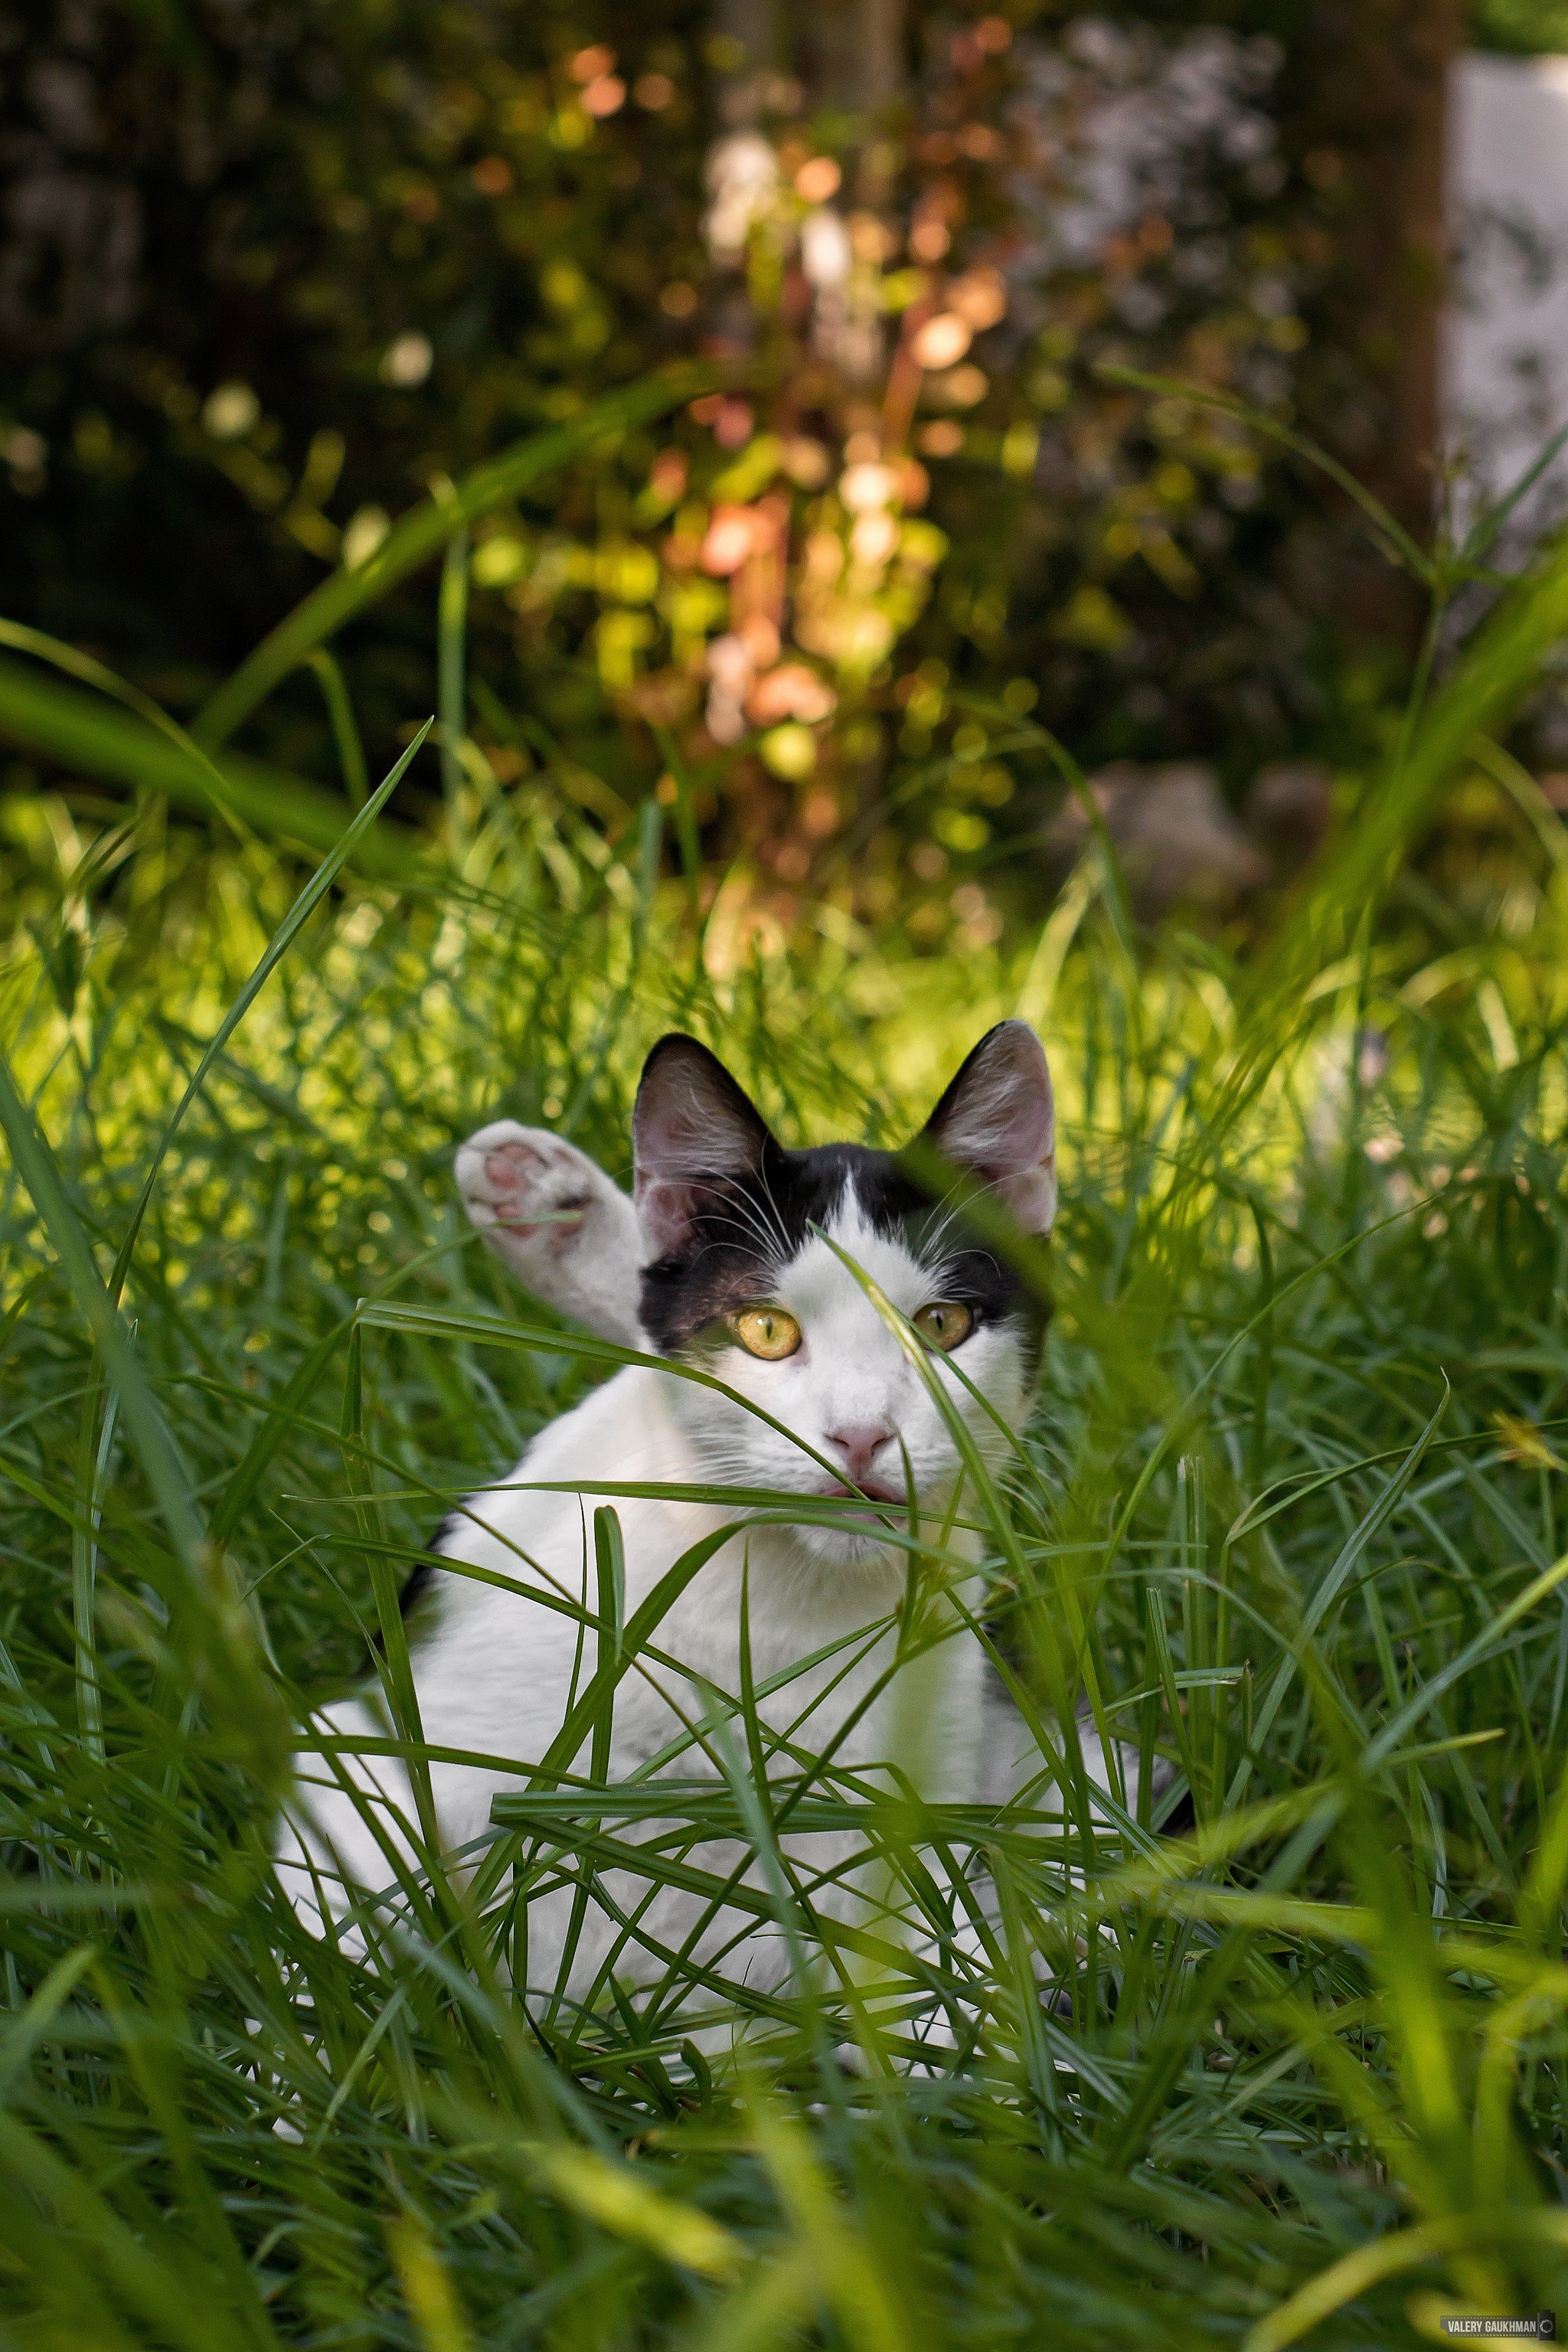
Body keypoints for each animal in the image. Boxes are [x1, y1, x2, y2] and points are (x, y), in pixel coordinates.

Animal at [273, 1021, 1152, 2032]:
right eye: (766, 1332)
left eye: (941, 1325)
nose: (860, 1435)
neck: (775, 1615)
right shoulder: (366, 1746)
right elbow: (332, 1924)